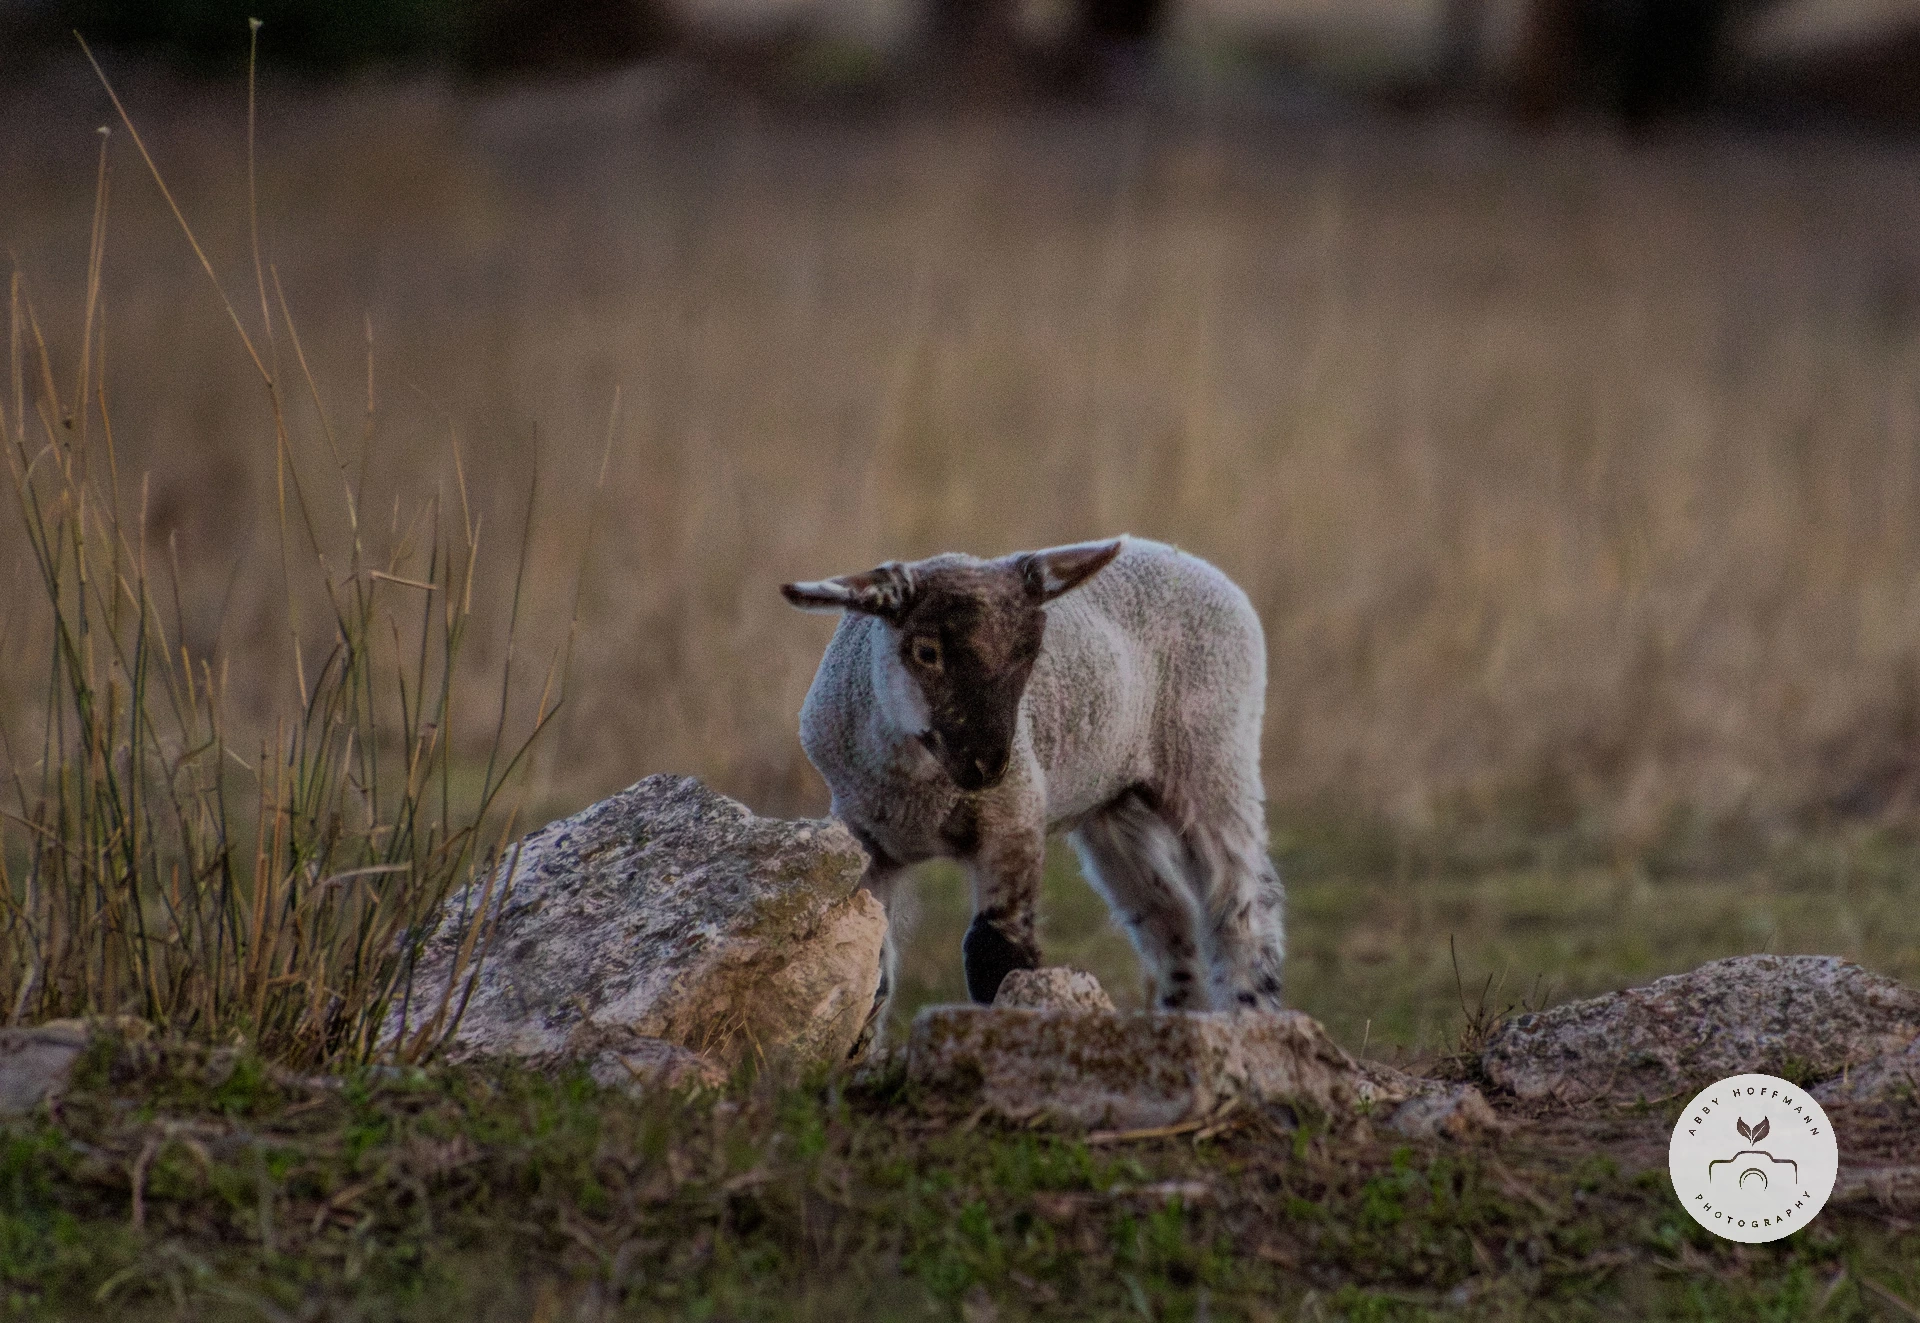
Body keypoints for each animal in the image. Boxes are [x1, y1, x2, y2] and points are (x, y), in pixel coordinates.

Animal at [780, 535, 1284, 1025]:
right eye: (927, 652)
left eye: (1030, 651)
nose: (987, 763)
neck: (919, 787)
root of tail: (1193, 561)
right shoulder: (864, 841)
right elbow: (871, 972)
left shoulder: (1013, 817)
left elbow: (995, 951)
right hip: (1112, 802)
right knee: (1168, 913)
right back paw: (1179, 1017)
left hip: (1212, 755)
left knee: (1243, 902)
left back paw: (1252, 1014)